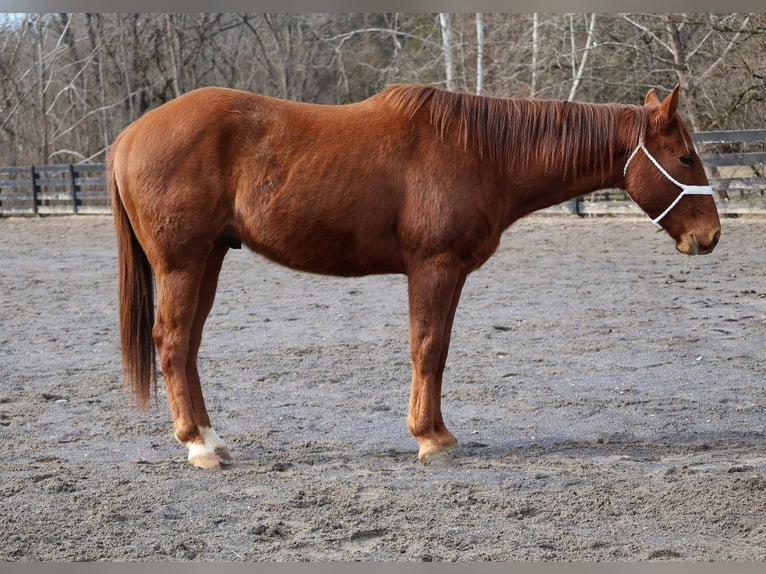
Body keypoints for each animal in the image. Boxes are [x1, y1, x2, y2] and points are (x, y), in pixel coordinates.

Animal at [109, 83, 720, 469]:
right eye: (686, 158)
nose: (710, 235)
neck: (480, 152)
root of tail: (129, 137)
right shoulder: (433, 267)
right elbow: (427, 348)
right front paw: (431, 440)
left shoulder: (449, 273)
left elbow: (439, 348)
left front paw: (438, 433)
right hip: (182, 263)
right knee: (172, 343)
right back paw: (200, 448)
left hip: (209, 258)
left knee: (187, 346)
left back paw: (212, 439)